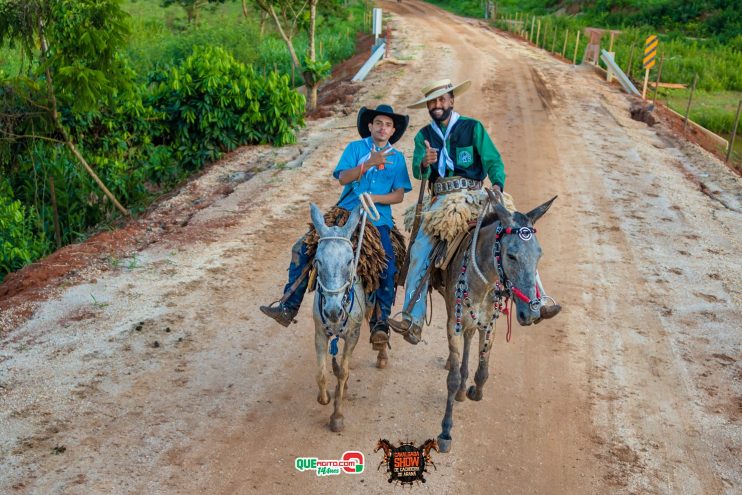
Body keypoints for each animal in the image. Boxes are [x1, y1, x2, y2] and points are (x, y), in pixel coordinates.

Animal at [310, 203, 390, 432]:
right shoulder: (319, 333)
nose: (333, 312)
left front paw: (337, 416)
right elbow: (321, 373)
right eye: (318, 261)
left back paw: (382, 352)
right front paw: (325, 398)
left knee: (378, 324)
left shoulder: (353, 334)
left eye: (349, 261)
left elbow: (343, 372)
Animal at [438, 190, 556, 454]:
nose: (531, 313)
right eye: (511, 255)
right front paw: (446, 430)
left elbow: (483, 371)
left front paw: (474, 391)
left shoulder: (489, 324)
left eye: (539, 254)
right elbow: (452, 380)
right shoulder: (453, 323)